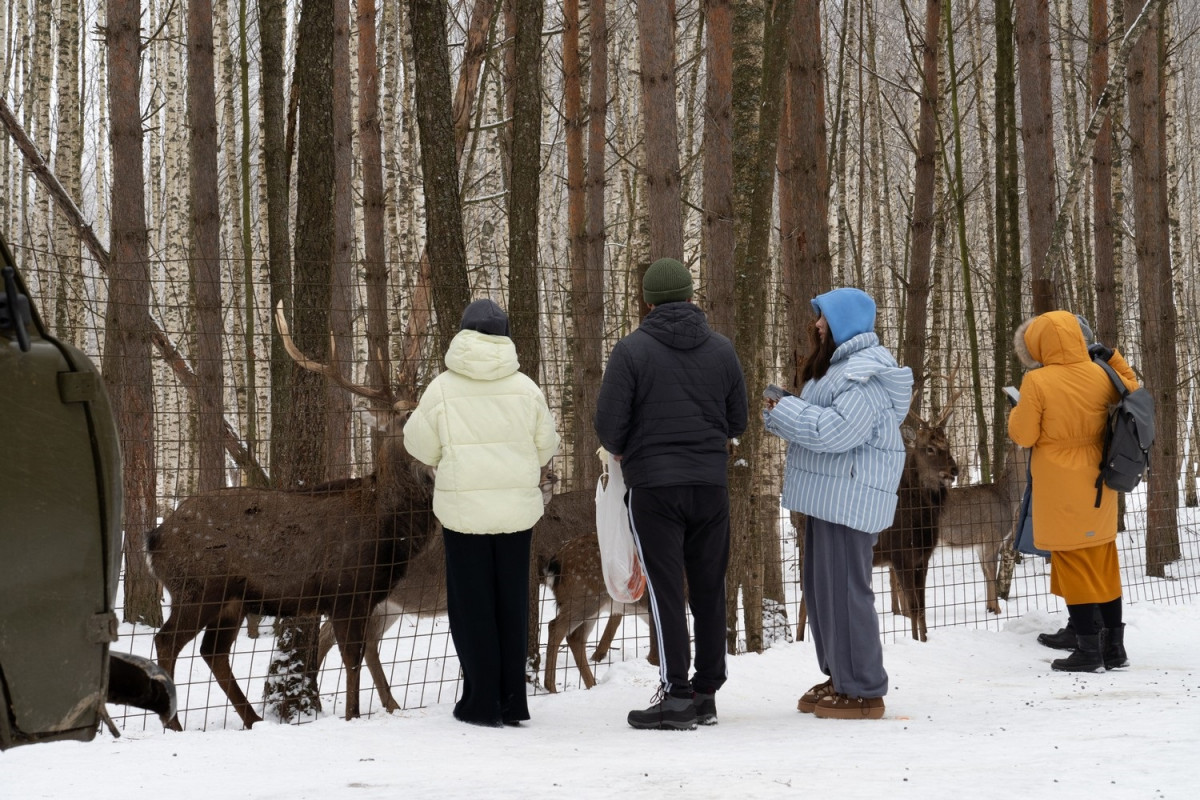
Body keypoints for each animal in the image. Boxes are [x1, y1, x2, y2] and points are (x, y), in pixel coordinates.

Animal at [145, 303, 436, 729]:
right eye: (404, 424)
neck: (388, 532)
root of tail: (154, 539)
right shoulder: (345, 591)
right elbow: (352, 659)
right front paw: (351, 716)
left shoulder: (364, 597)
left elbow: (356, 657)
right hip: (196, 588)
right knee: (167, 641)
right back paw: (176, 726)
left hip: (231, 600)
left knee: (213, 651)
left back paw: (252, 719)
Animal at [936, 441, 1032, 618]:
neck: (1008, 499)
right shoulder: (992, 535)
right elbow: (991, 570)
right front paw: (997, 610)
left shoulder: (980, 543)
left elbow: (985, 572)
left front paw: (989, 607)